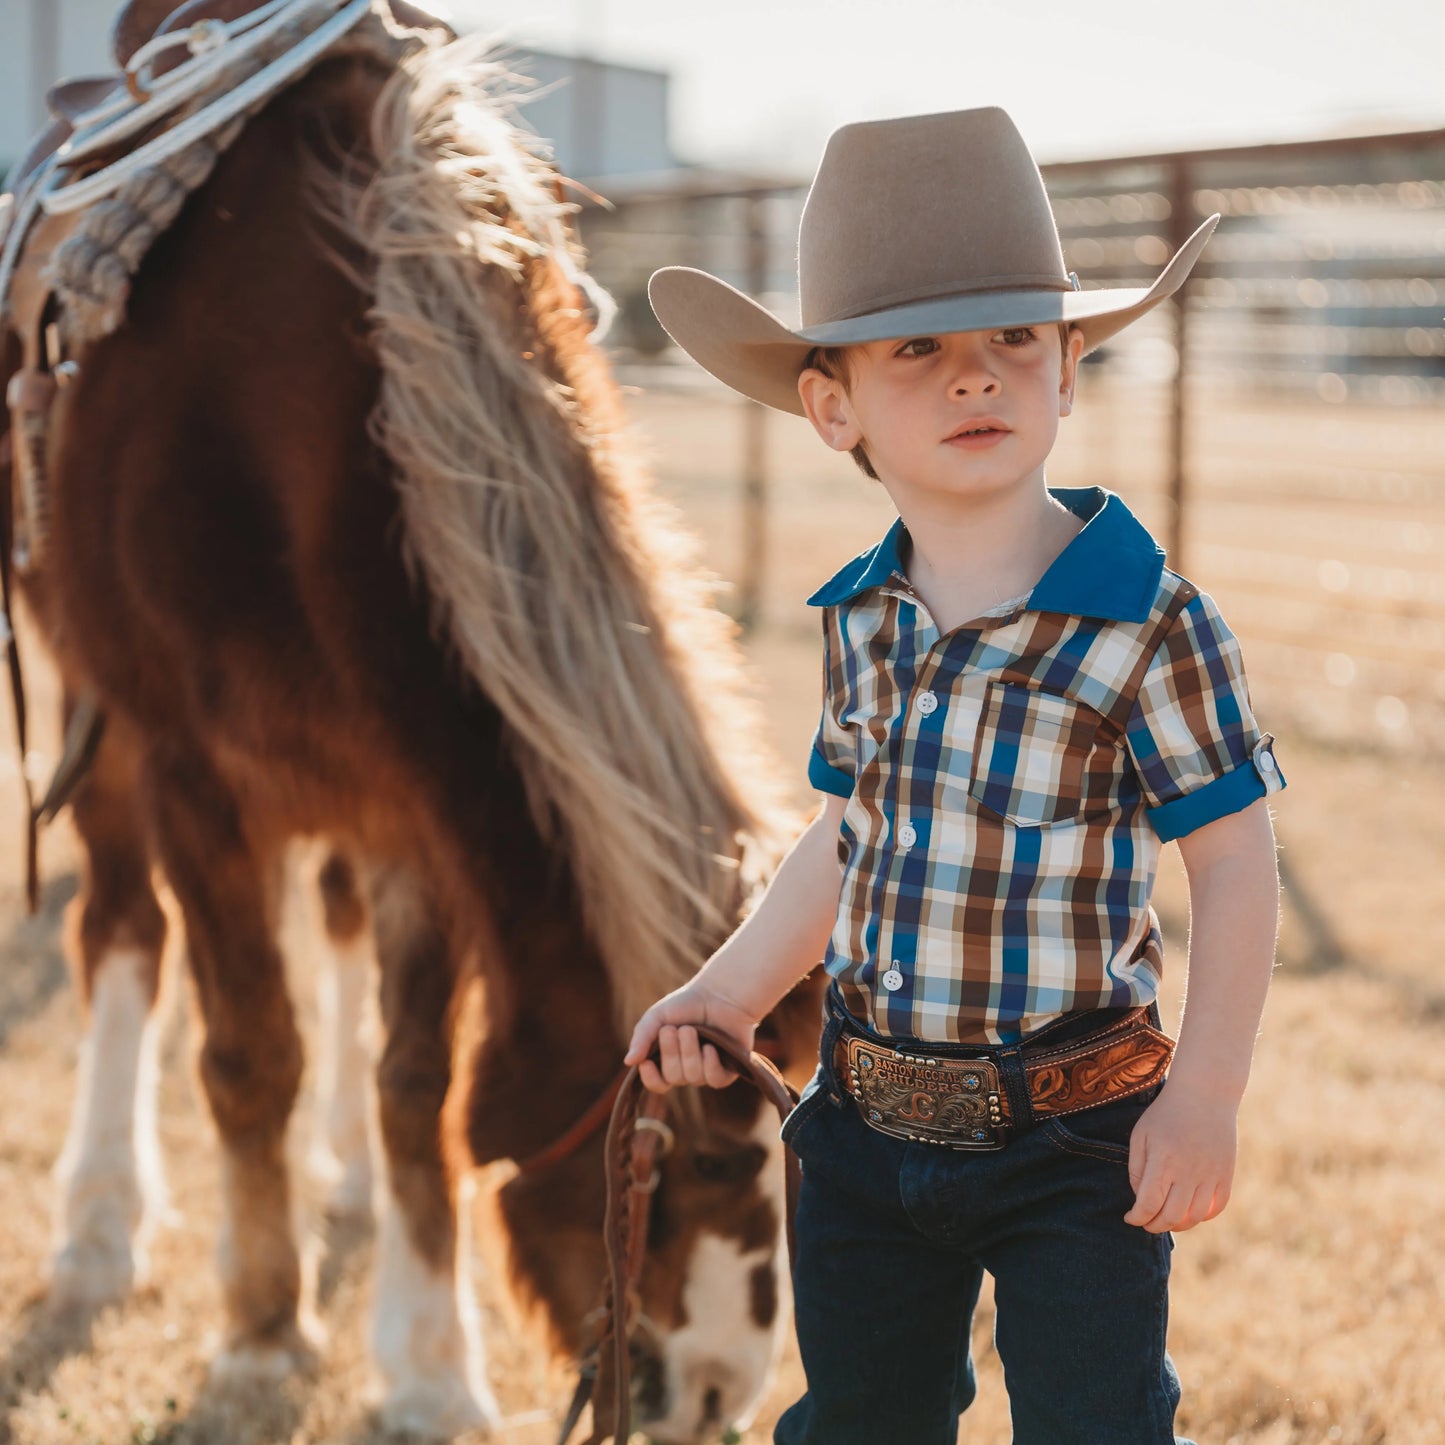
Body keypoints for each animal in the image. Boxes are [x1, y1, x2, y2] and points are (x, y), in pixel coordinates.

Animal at [2, 5, 826, 1439]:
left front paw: (432, 1360)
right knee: (121, 933)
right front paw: (262, 1330)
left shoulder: (423, 808)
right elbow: (249, 1054)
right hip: (96, 711)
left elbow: (414, 1090)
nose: (721, 1392)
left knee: (331, 938)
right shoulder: (195, 774)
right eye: (697, 1154)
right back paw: (102, 1222)